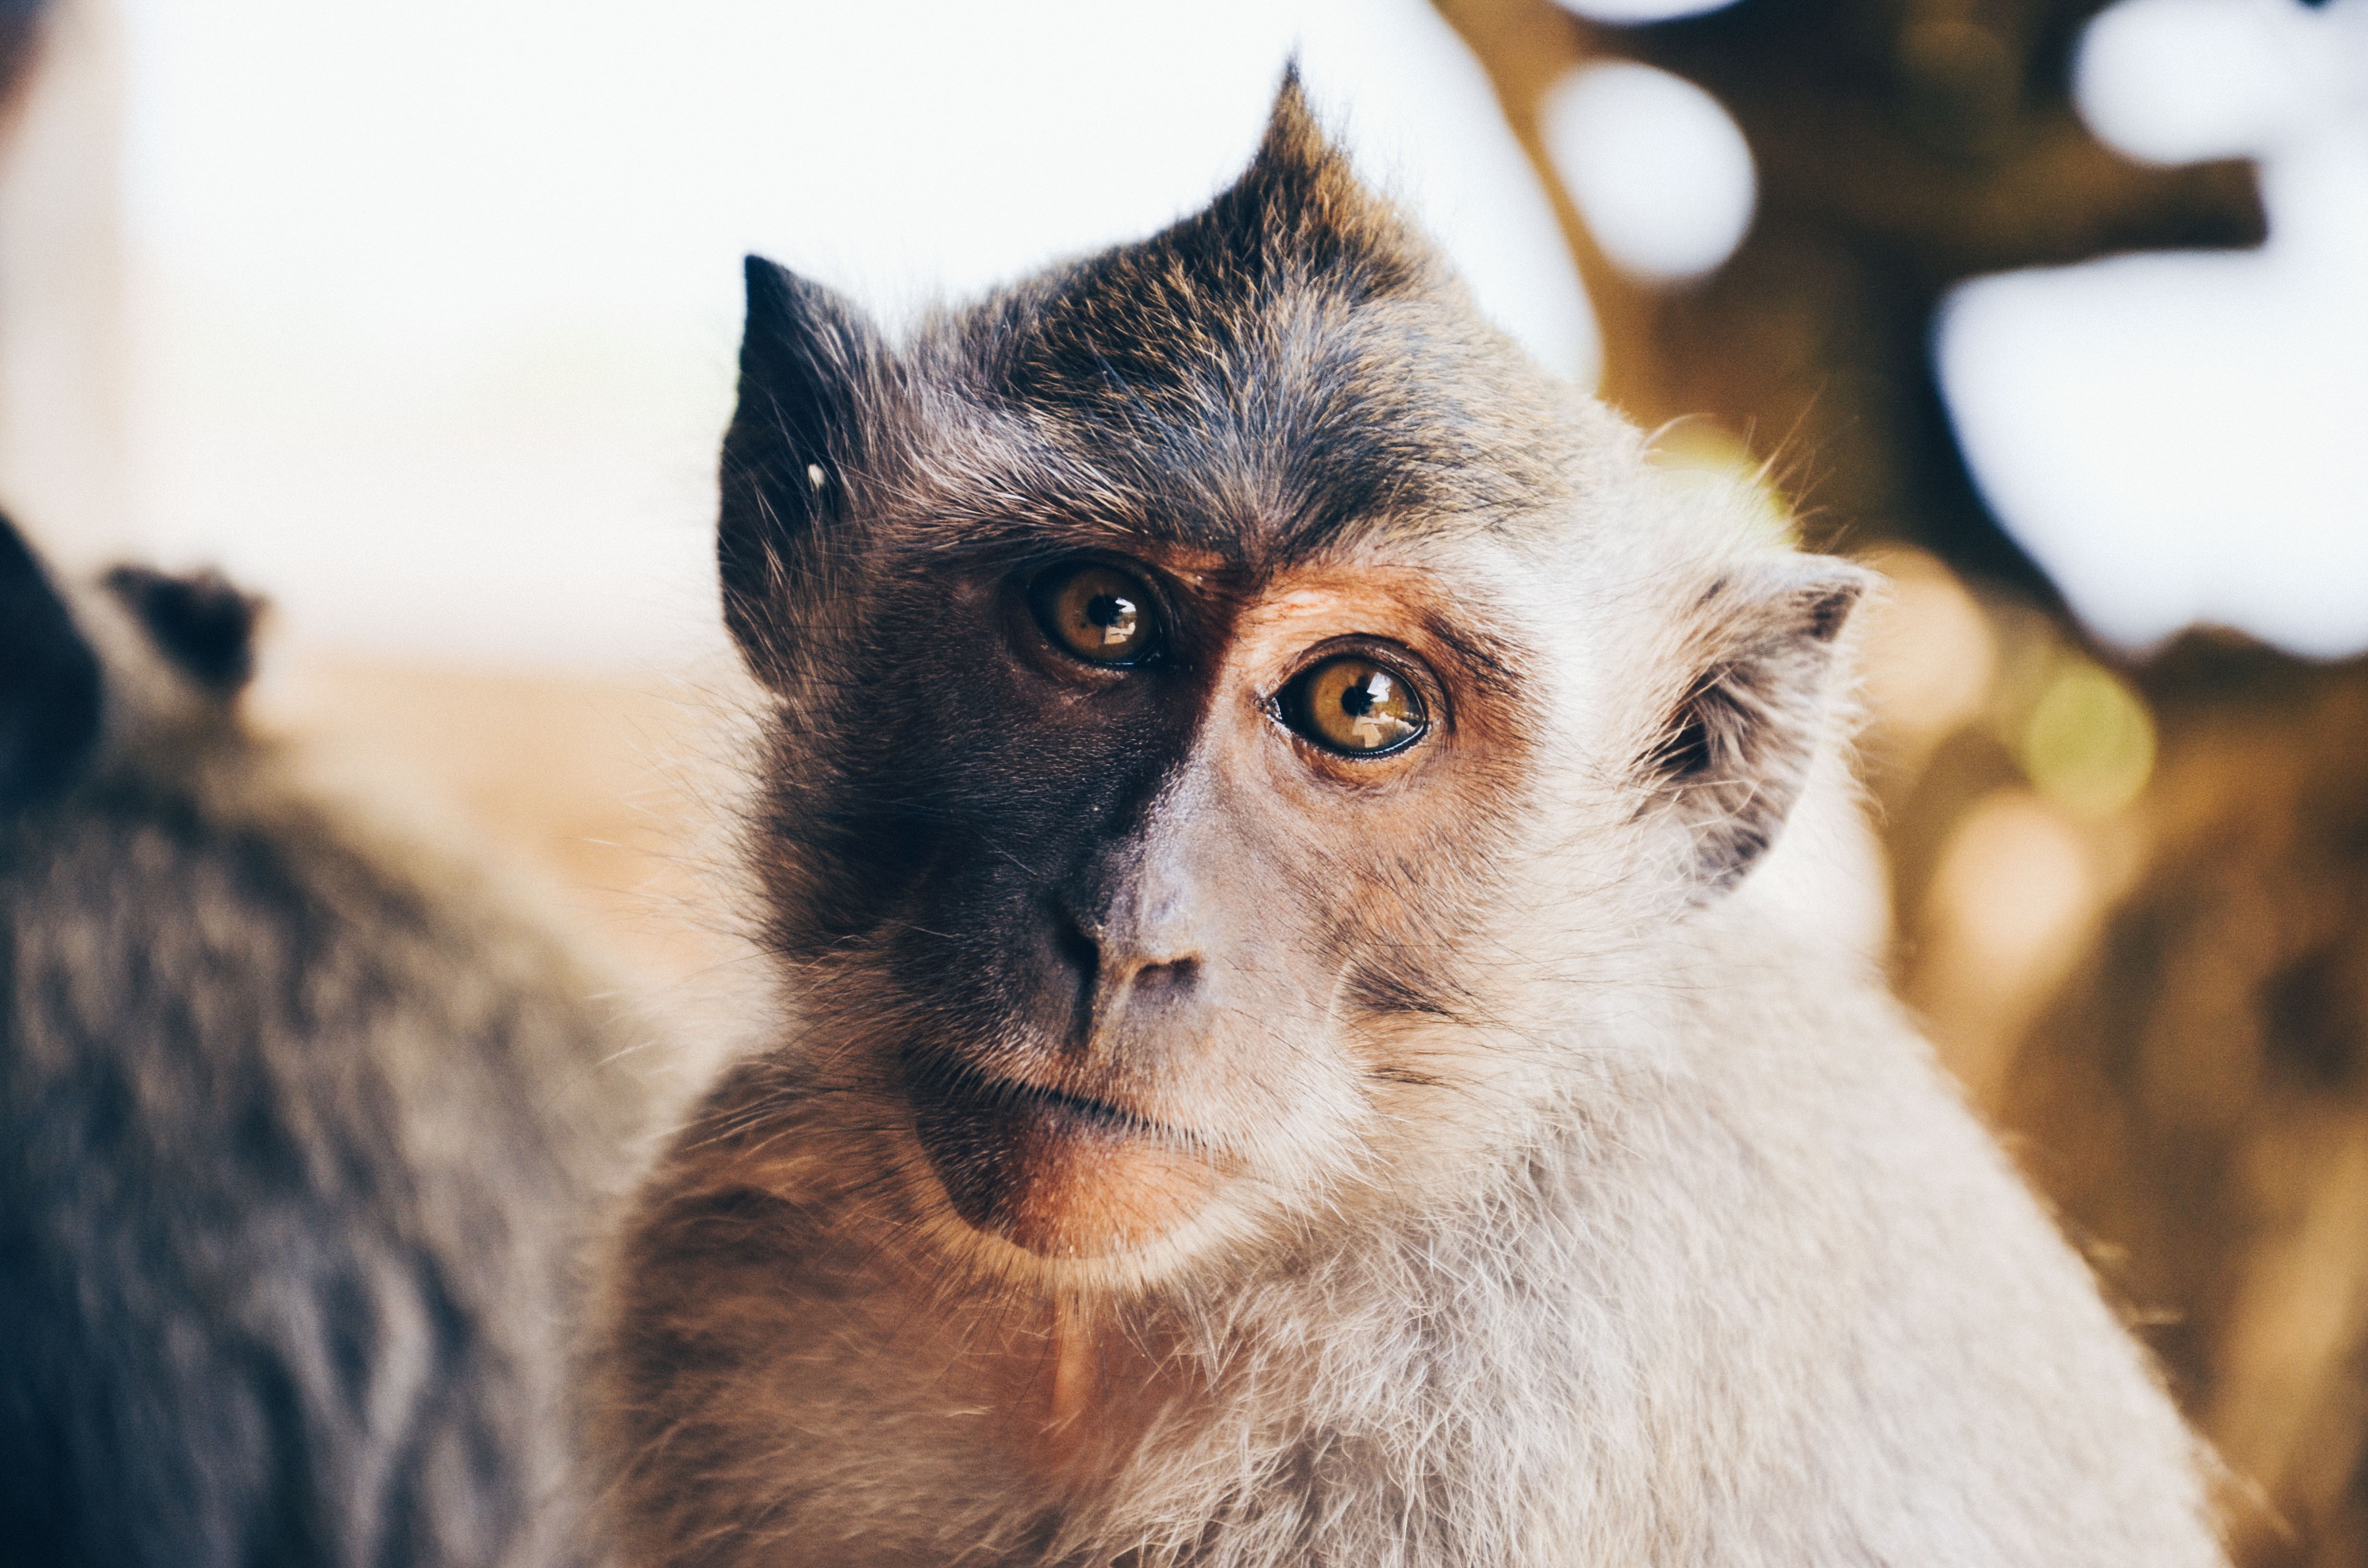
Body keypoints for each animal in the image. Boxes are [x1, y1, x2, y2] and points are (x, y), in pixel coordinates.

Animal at [592, 83, 2216, 1568]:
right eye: (1101, 614)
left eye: (1361, 702)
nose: (1129, 934)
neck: (1099, 1331)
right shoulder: (726, 1279)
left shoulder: (1505, 1389)